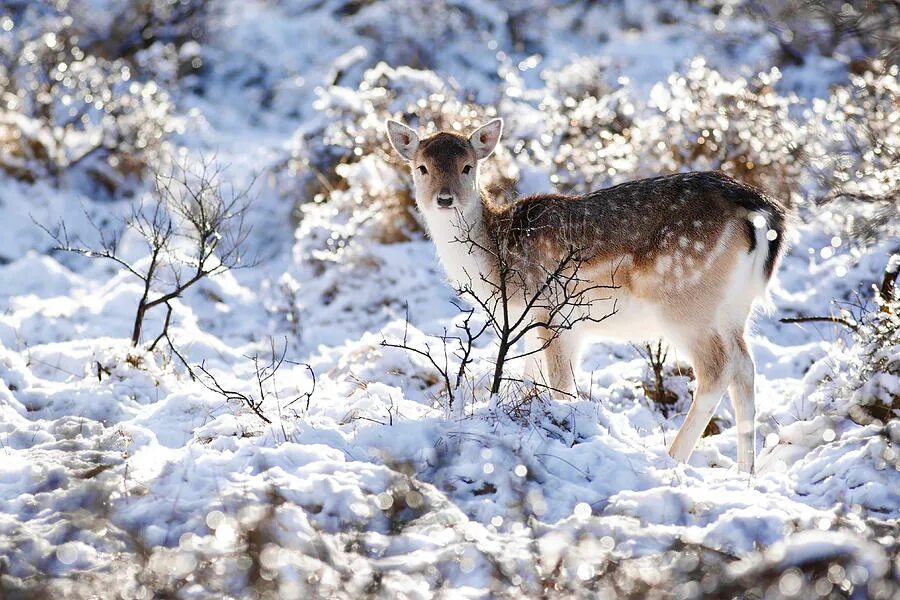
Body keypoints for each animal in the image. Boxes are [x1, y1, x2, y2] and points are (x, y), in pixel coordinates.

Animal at [386, 118, 788, 474]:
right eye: (422, 168)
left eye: (468, 167)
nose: (445, 198)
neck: (498, 262)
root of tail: (762, 210)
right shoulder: (542, 323)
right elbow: (531, 377)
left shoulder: (551, 310)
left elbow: (561, 386)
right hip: (735, 307)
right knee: (745, 367)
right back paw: (746, 472)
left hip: (686, 301)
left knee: (717, 370)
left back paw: (671, 459)